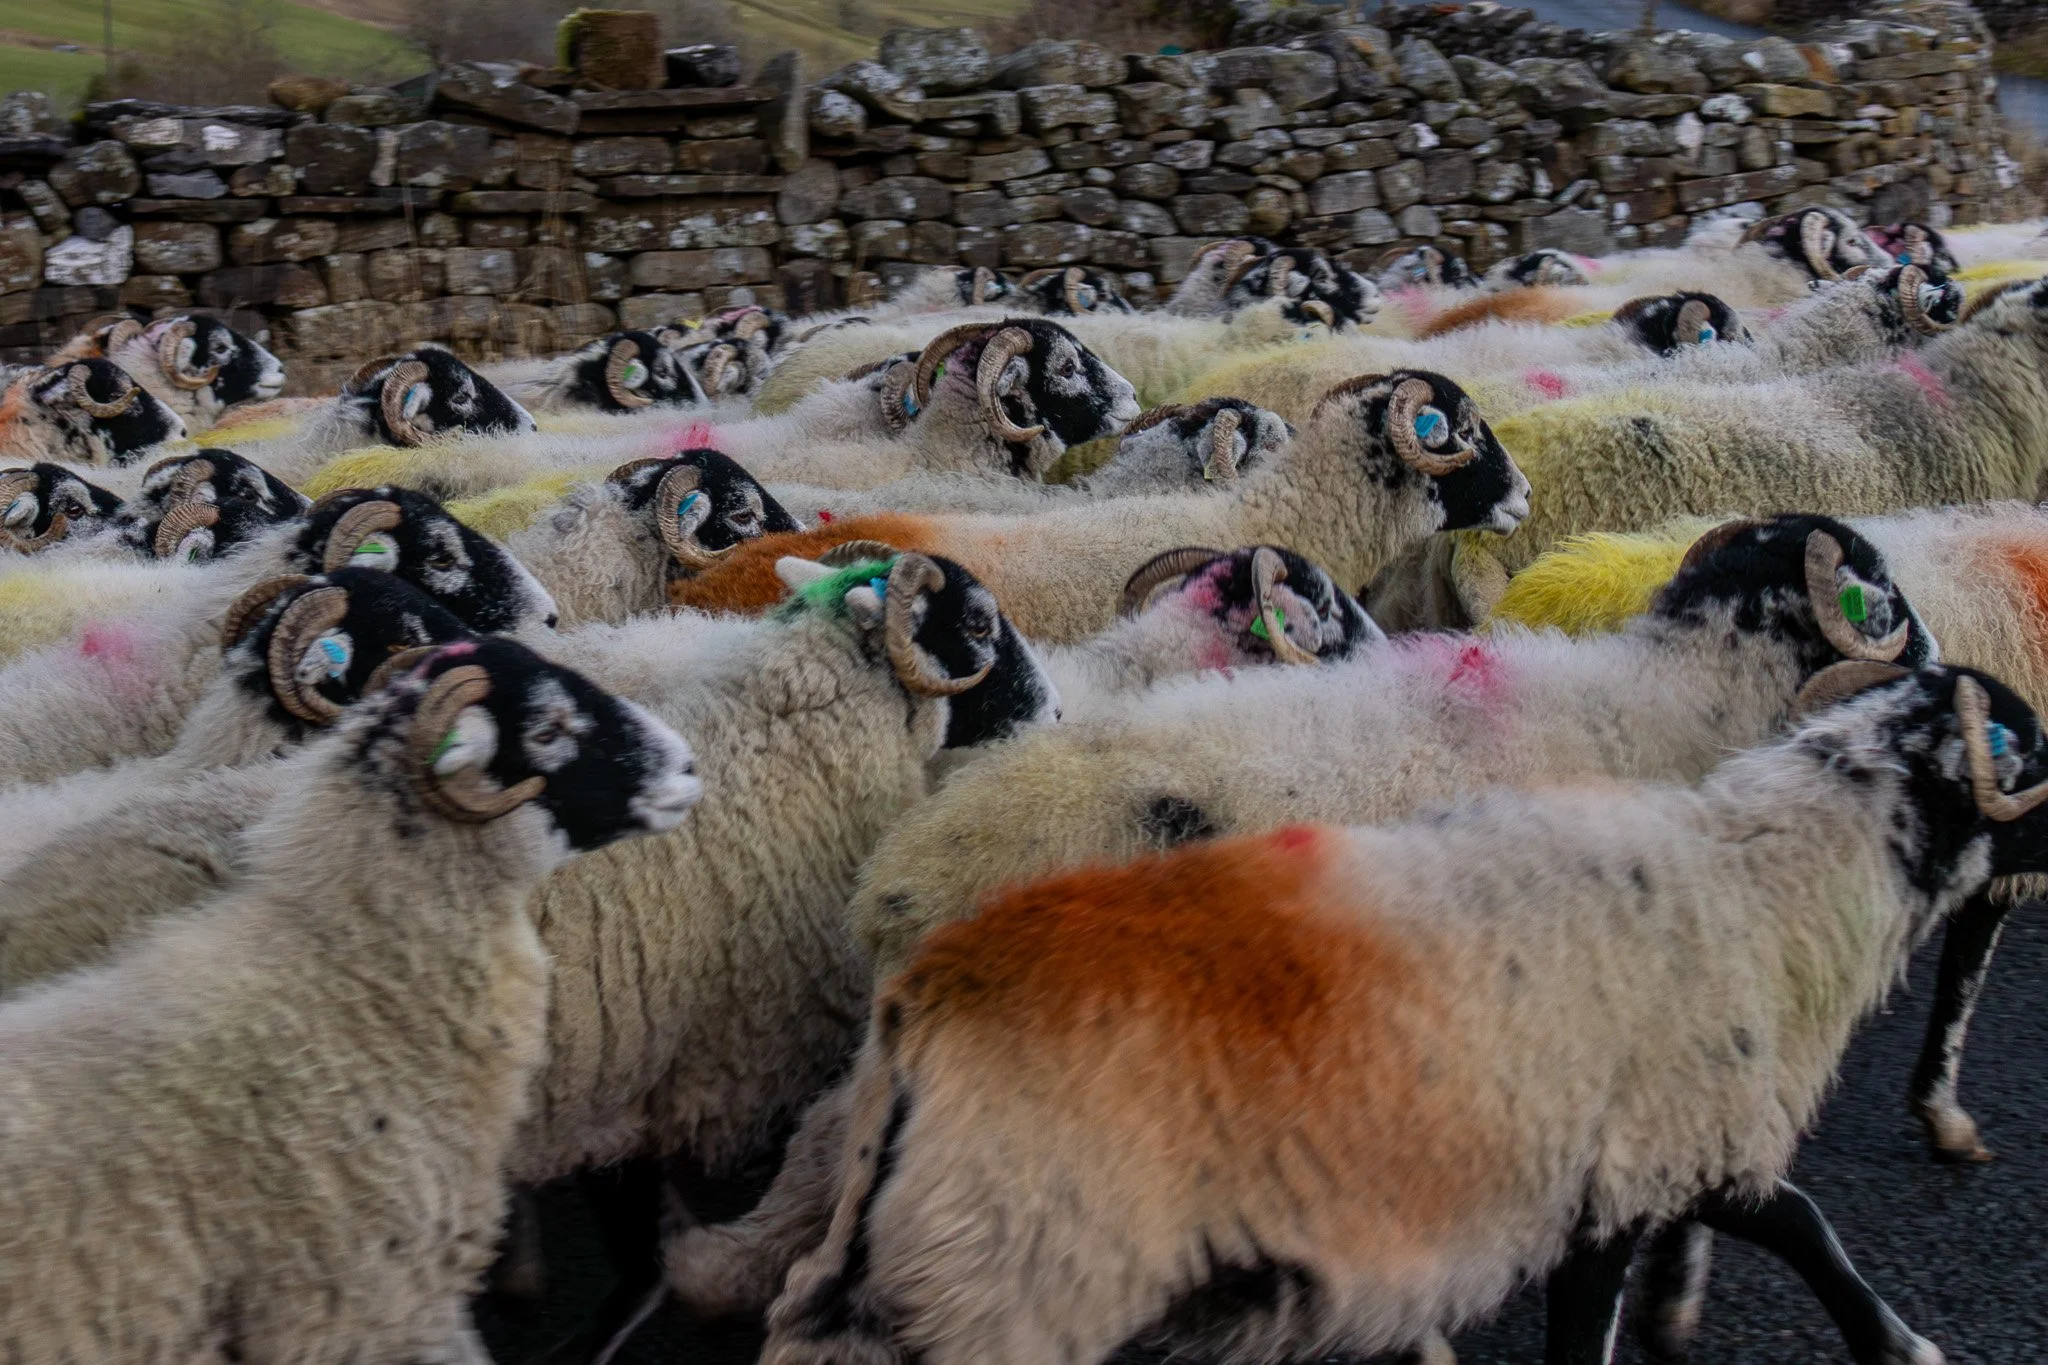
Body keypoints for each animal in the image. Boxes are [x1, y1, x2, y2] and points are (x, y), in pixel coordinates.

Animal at [762, 662, 2045, 1365]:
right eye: (2034, 751)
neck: (1769, 882)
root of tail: (929, 985)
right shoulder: (1629, 1166)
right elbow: (1750, 1251)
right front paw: (1904, 1340)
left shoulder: (1672, 1146)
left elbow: (1791, 1223)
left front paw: (1879, 1338)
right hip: (1014, 1272)